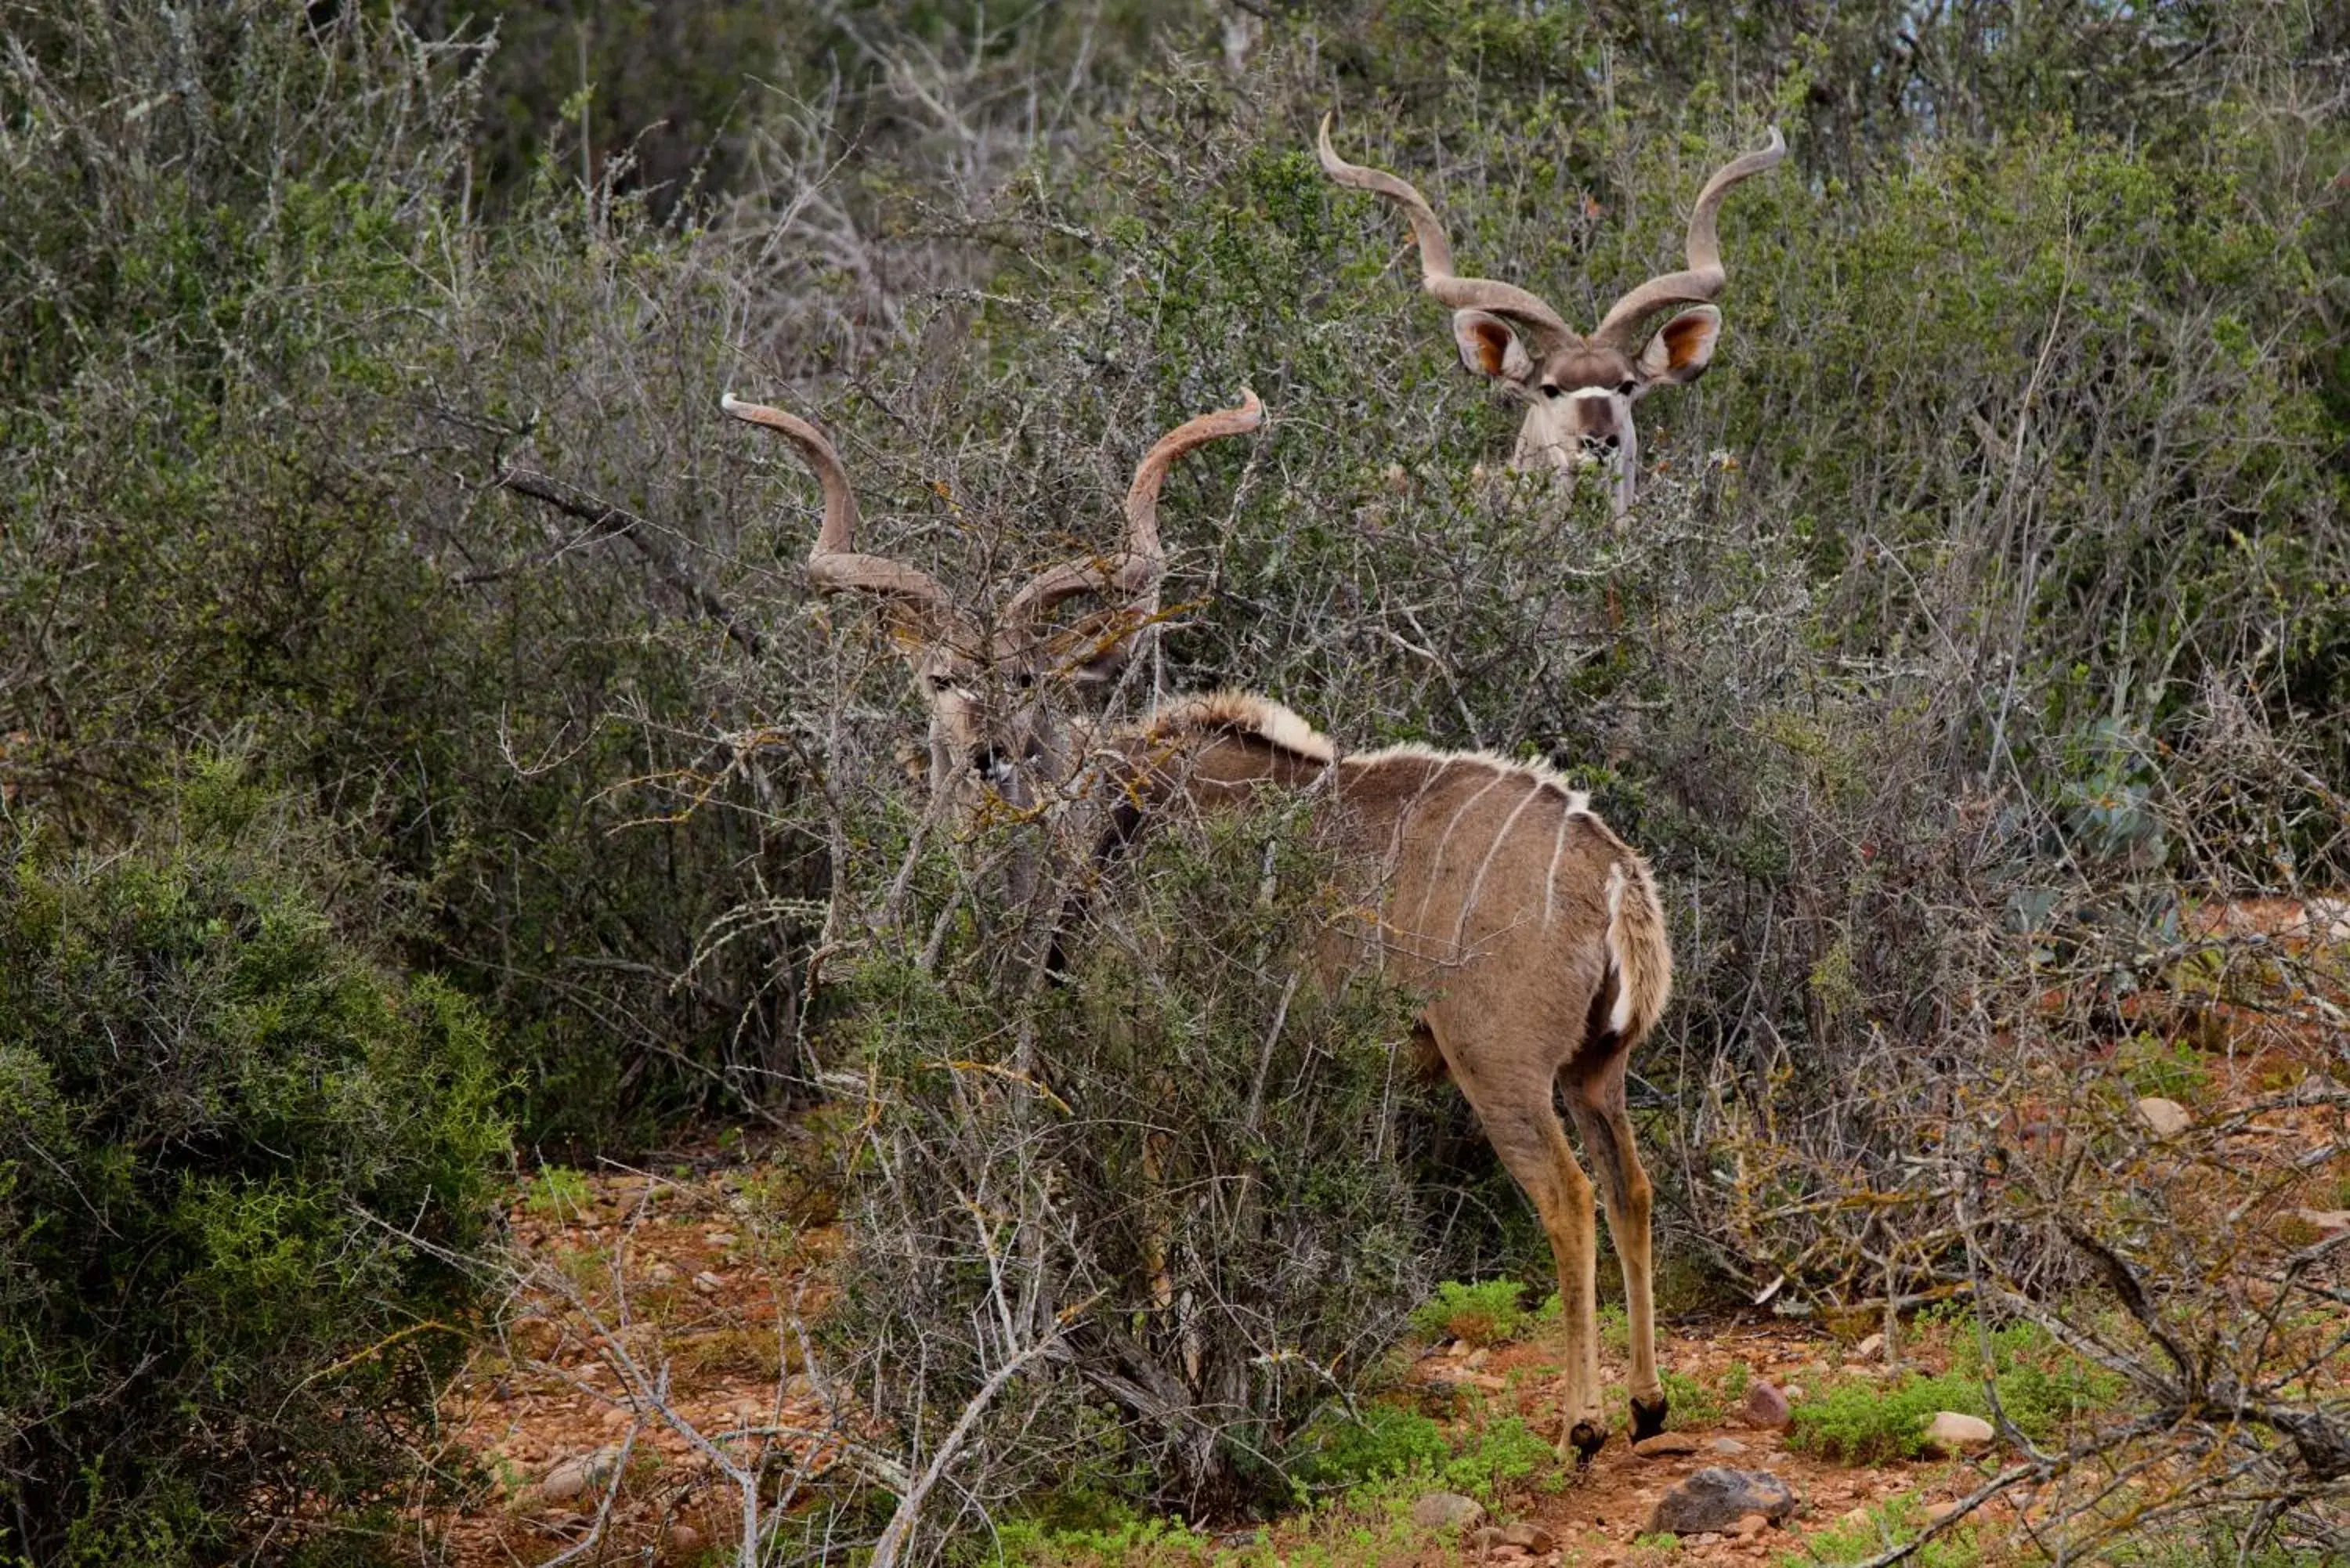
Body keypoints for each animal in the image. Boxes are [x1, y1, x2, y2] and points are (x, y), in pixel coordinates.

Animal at [724, 390, 1683, 1457]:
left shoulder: (1145, 1061)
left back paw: (1582, 1423)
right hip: (1597, 1069)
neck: (1095, 828)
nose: (987, 755)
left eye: (1029, 677)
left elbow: (1158, 1232)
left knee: (1571, 1197)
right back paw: (1646, 1403)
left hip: (1502, 1067)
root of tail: (1614, 874)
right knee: (1634, 1187)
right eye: (940, 679)